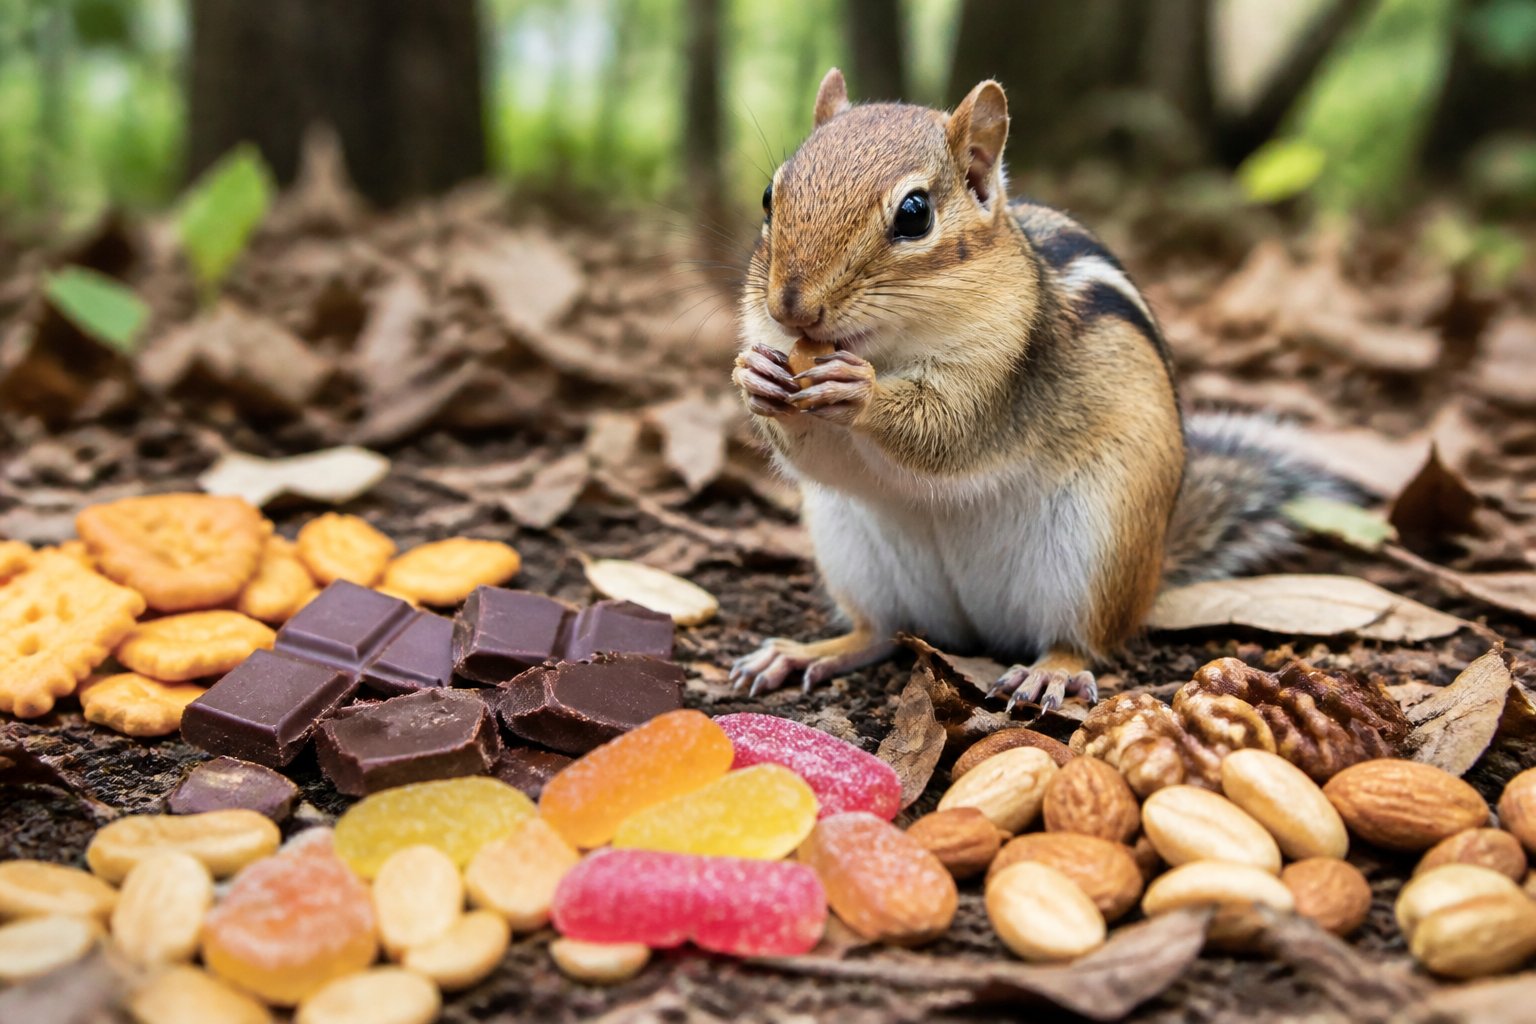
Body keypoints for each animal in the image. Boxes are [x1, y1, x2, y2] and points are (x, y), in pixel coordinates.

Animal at [729, 69, 1347, 711]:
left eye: (914, 214)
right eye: (770, 196)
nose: (790, 308)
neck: (888, 347)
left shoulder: (1003, 375)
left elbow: (946, 433)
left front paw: (860, 391)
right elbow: (820, 456)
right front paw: (755, 378)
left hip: (1096, 550)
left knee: (1081, 640)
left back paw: (1049, 671)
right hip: (852, 552)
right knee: (877, 632)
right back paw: (805, 653)